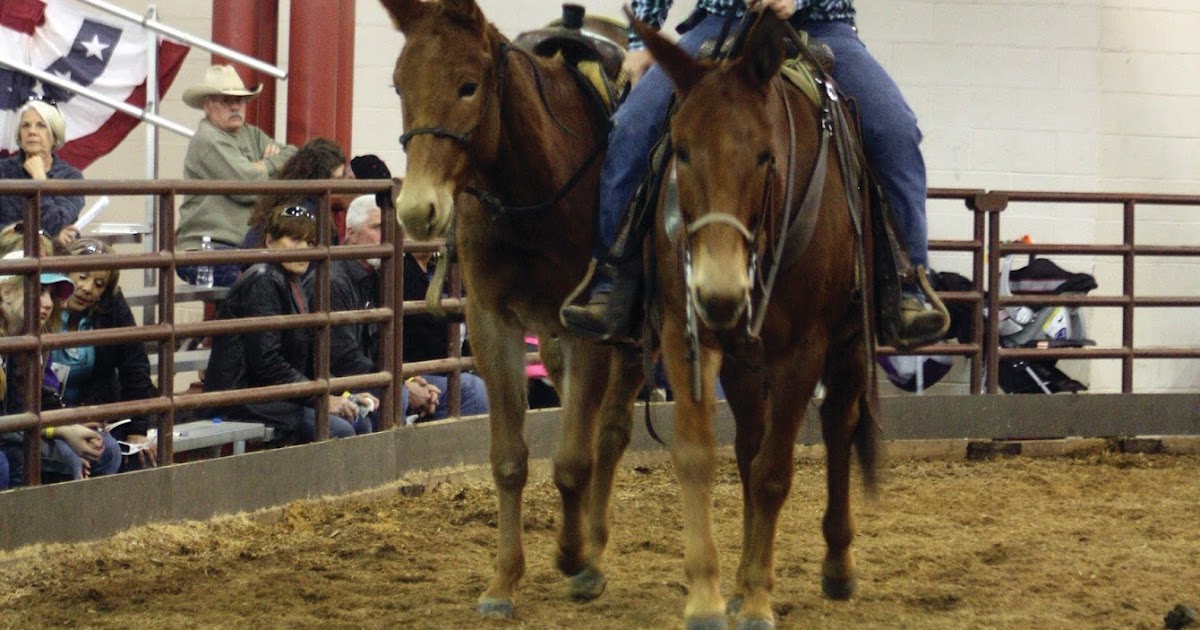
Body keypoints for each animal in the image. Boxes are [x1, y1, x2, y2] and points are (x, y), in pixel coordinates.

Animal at [379, 0, 643, 619]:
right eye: (400, 84)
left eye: (469, 85)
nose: (418, 209)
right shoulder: (491, 322)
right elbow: (509, 460)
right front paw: (504, 582)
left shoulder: (586, 329)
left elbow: (573, 460)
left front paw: (574, 558)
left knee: (610, 433)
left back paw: (594, 547)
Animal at [635, 10, 880, 630]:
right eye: (681, 151)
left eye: (767, 155)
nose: (721, 292)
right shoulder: (686, 332)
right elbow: (700, 458)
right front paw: (707, 596)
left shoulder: (804, 350)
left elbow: (774, 473)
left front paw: (758, 602)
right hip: (744, 361)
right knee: (748, 443)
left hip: (848, 344)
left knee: (838, 425)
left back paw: (837, 565)